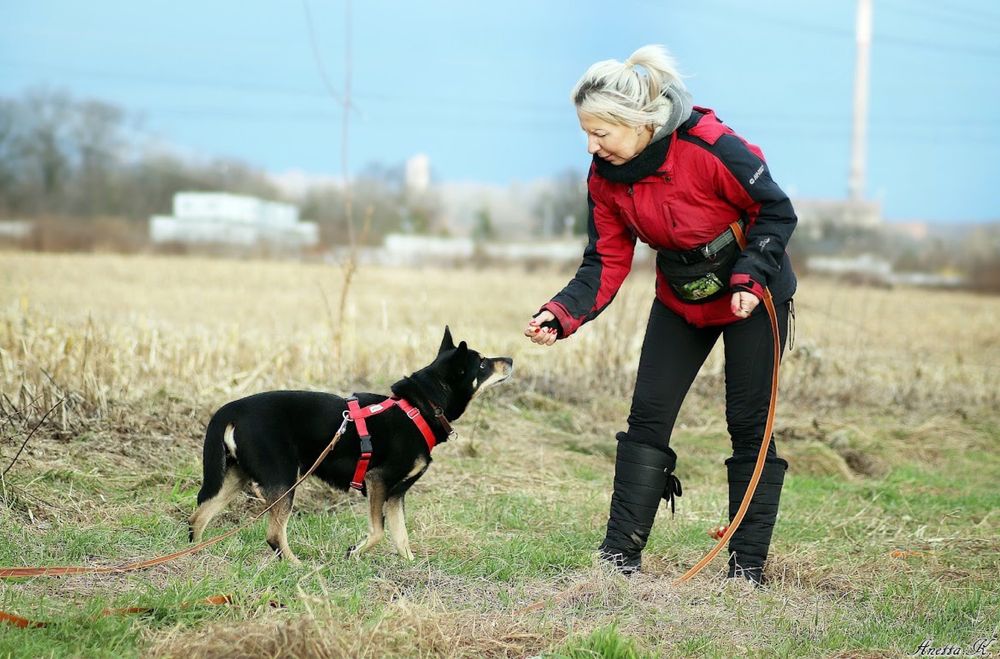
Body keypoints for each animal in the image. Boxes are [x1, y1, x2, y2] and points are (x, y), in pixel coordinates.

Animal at [189, 328, 516, 564]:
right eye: (483, 363)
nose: (511, 360)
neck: (420, 408)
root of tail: (231, 409)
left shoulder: (396, 494)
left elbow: (401, 537)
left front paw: (412, 567)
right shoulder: (378, 480)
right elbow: (379, 532)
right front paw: (353, 553)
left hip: (235, 476)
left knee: (198, 517)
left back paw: (197, 557)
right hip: (283, 479)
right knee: (273, 534)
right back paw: (297, 565)